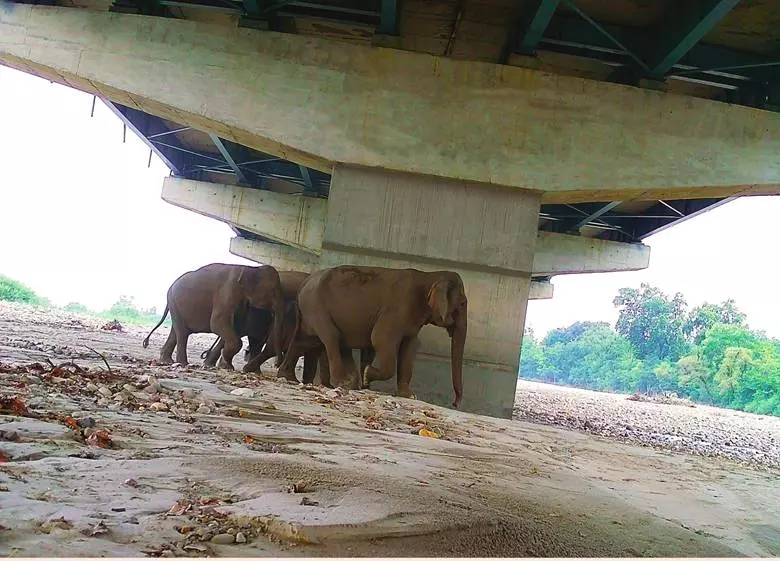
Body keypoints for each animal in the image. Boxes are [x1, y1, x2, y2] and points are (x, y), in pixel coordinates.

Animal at [142, 263, 285, 370]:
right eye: (273, 291)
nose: (278, 364)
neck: (252, 268)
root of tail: (171, 287)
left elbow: (234, 327)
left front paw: (222, 365)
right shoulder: (229, 291)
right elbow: (217, 323)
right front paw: (226, 365)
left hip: (175, 304)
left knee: (177, 331)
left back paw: (167, 360)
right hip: (173, 301)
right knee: (182, 332)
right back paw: (182, 363)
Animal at [278, 266, 468, 408]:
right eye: (462, 304)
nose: (455, 403)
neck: (430, 276)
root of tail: (305, 282)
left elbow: (409, 347)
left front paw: (409, 396)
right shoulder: (396, 310)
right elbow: (380, 339)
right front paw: (367, 376)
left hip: (310, 310)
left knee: (306, 340)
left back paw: (288, 377)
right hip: (316, 306)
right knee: (331, 337)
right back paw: (344, 383)